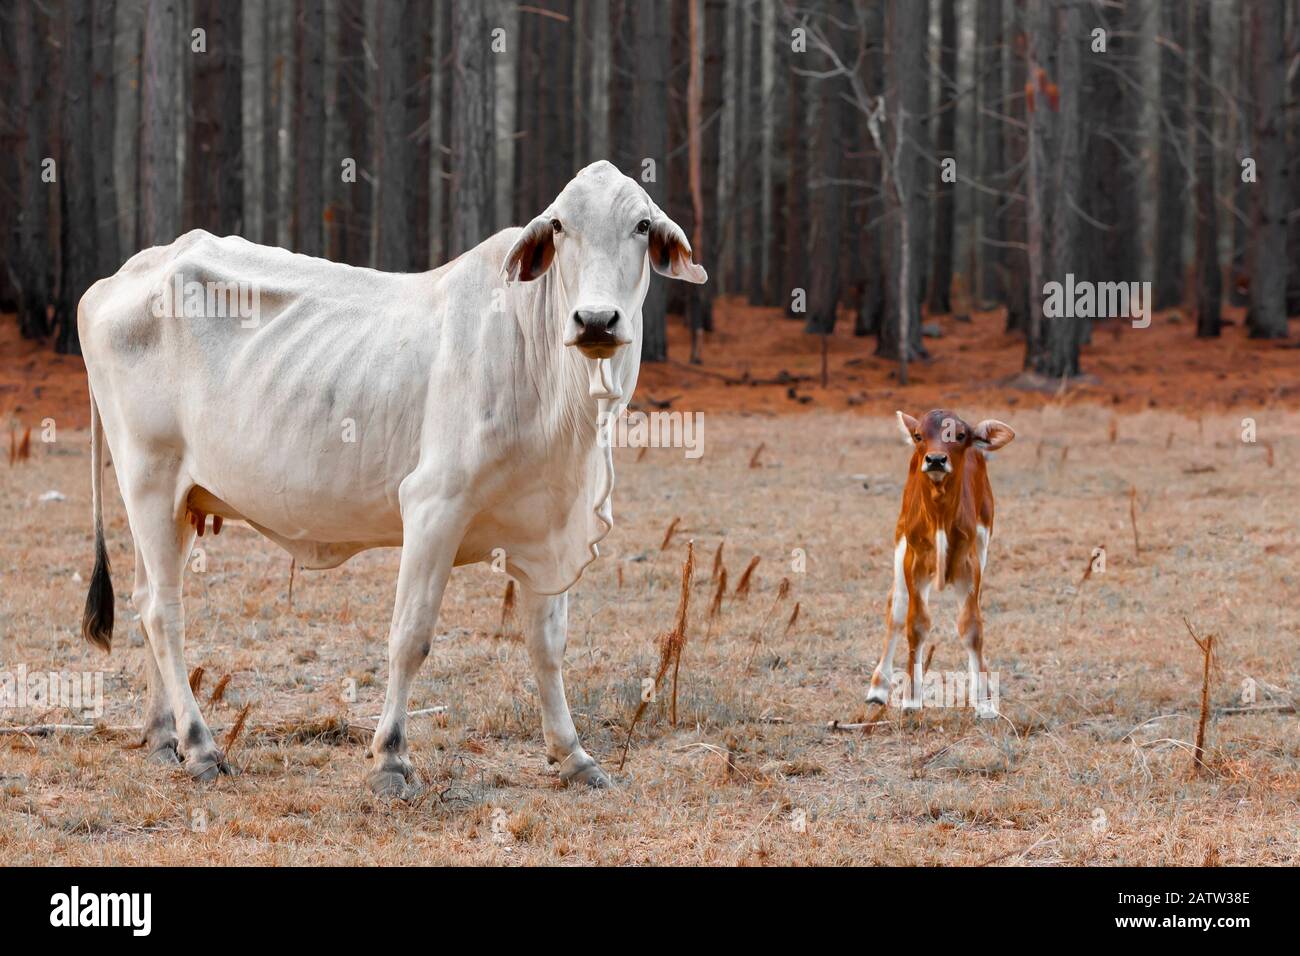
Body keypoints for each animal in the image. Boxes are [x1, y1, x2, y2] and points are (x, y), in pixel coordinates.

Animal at [76, 160, 707, 796]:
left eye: (642, 224)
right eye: (558, 225)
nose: (596, 320)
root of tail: (116, 279)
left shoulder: (545, 522)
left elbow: (547, 644)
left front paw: (573, 754)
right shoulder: (433, 506)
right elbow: (410, 637)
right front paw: (391, 758)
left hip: (176, 502)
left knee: (144, 600)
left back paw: (163, 737)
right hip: (150, 479)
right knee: (164, 613)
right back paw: (201, 746)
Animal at [873, 408, 1013, 712]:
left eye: (960, 436)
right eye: (918, 436)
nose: (935, 459)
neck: (939, 517)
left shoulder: (971, 562)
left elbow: (972, 626)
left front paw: (984, 700)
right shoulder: (912, 560)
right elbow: (915, 624)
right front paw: (911, 698)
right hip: (900, 541)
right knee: (896, 607)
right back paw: (877, 688)